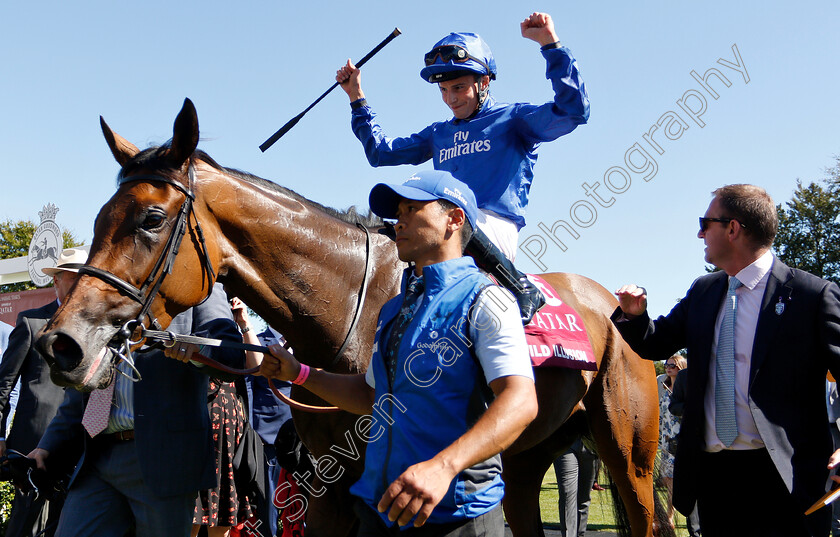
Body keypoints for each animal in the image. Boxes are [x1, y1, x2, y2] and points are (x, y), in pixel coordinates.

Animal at [34, 98, 664, 532]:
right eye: (99, 219)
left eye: (150, 219)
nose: (62, 344)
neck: (348, 315)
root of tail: (610, 303)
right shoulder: (328, 488)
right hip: (528, 456)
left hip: (629, 456)